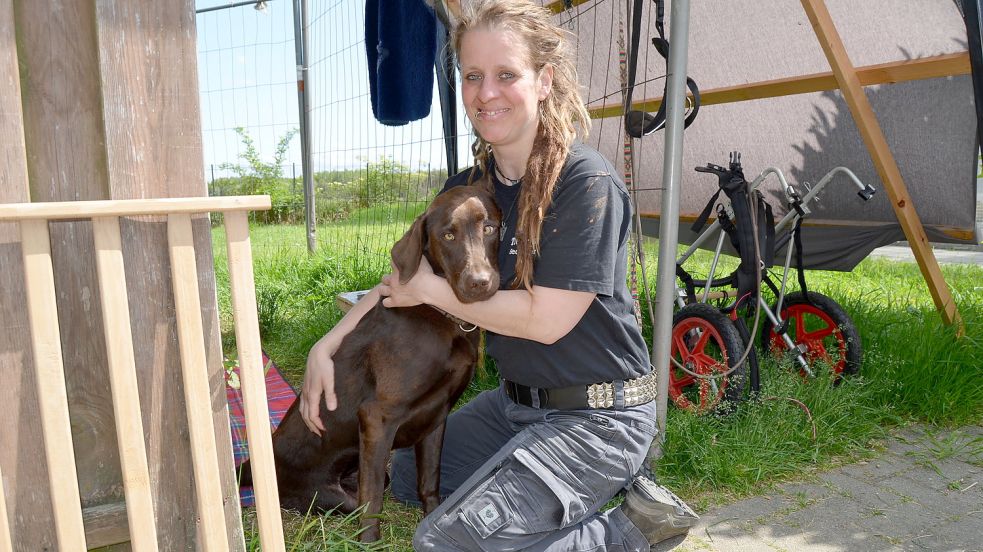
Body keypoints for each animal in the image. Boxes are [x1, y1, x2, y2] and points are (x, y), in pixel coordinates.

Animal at [245, 183, 504, 540]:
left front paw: (432, 520)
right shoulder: (377, 418)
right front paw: (370, 543)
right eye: (448, 235)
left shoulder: (437, 419)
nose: (479, 283)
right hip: (330, 493)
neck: (442, 317)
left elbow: (429, 482)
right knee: (361, 501)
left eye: (489, 228)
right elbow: (372, 507)